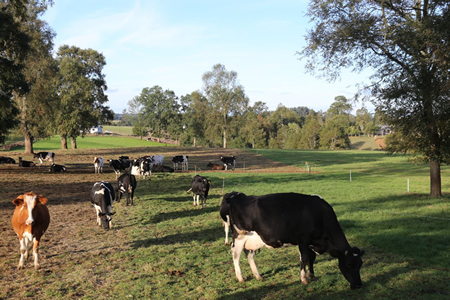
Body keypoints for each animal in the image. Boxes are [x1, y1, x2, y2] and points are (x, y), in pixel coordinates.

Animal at [223, 191, 364, 290]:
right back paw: (240, 277)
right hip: (239, 236)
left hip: (251, 240)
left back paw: (258, 276)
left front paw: (312, 276)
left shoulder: (311, 241)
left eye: (360, 264)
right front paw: (304, 279)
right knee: (236, 255)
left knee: (249, 255)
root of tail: (237, 197)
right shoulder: (303, 239)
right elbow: (304, 259)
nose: (358, 285)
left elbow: (312, 258)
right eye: (349, 264)